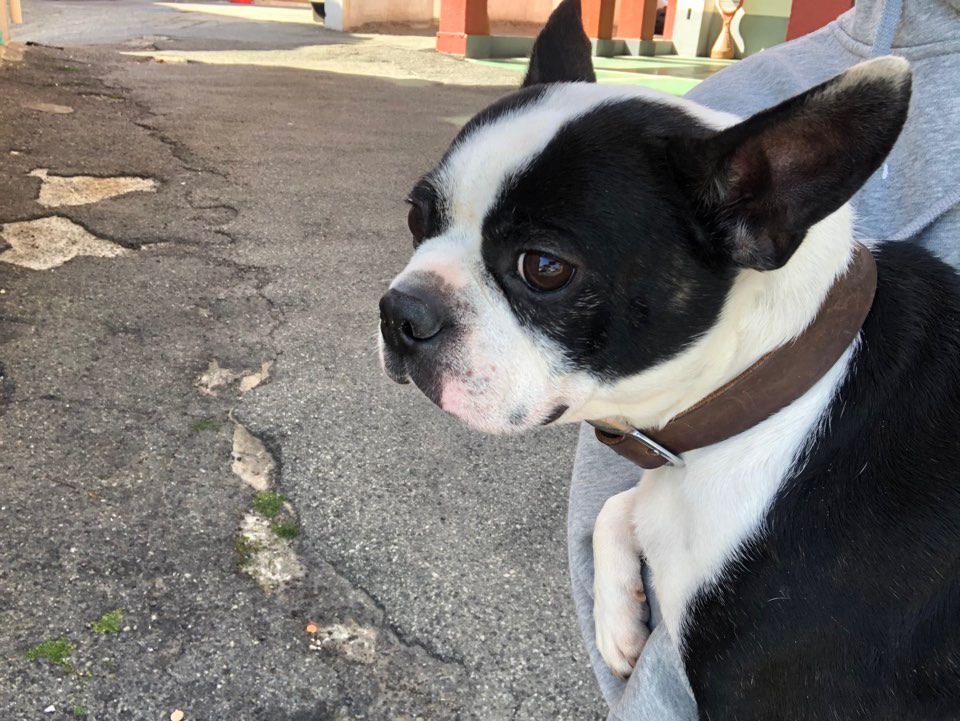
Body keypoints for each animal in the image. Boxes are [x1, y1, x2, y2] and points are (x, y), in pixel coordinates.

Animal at [378, 1, 960, 717]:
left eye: (544, 268)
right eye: (416, 218)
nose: (401, 312)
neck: (769, 390)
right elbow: (619, 506)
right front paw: (617, 621)